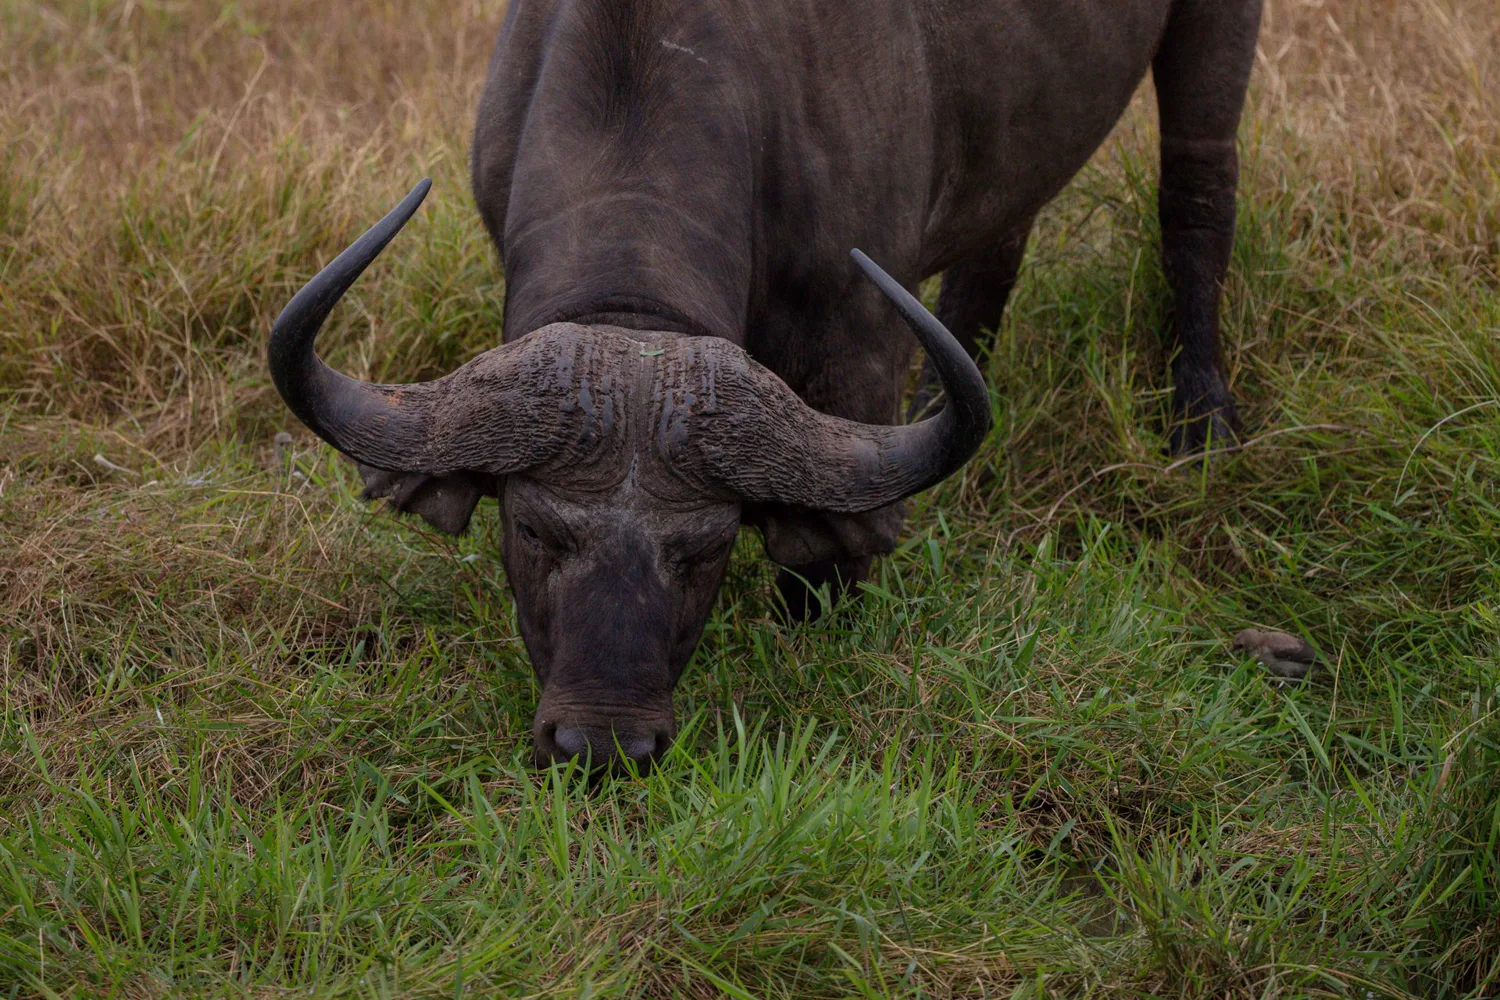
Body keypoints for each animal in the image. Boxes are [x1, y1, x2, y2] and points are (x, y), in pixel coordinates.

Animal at [270, 0, 1262, 770]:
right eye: (533, 529)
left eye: (707, 548)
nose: (603, 744)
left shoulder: (859, 345)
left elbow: (826, 557)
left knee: (1198, 198)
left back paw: (1202, 428)